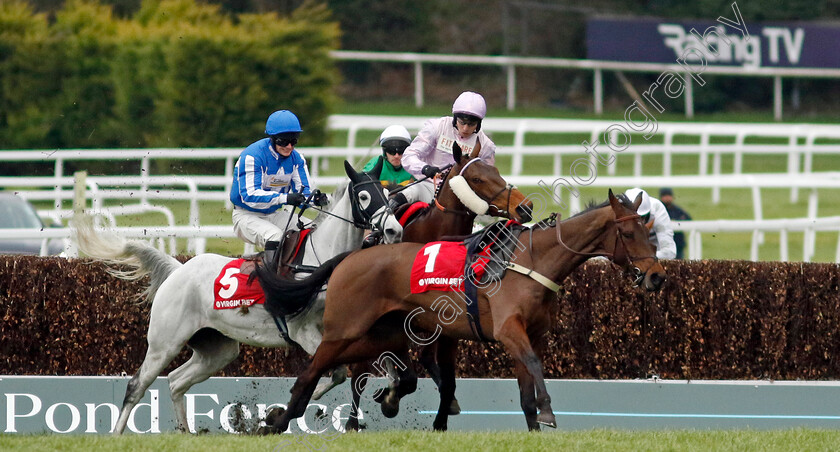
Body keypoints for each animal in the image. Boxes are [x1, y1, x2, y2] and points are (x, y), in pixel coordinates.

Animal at [71, 160, 400, 434]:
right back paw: (117, 435)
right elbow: (334, 374)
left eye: (388, 194)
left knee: (176, 381)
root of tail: (178, 269)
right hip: (164, 342)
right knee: (138, 384)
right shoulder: (303, 331)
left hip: (217, 348)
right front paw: (276, 416)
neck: (318, 263)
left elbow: (367, 370)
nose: (394, 231)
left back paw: (186, 433)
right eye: (364, 197)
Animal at [260, 189, 668, 432]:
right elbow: (534, 365)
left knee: (341, 369)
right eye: (628, 234)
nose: (657, 277)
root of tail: (348, 257)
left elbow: (526, 388)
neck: (532, 261)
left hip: (381, 334)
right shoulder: (509, 330)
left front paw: (535, 427)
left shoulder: (532, 333)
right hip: (344, 328)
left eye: (651, 231)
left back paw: (284, 415)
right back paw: (280, 419)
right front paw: (549, 414)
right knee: (316, 368)